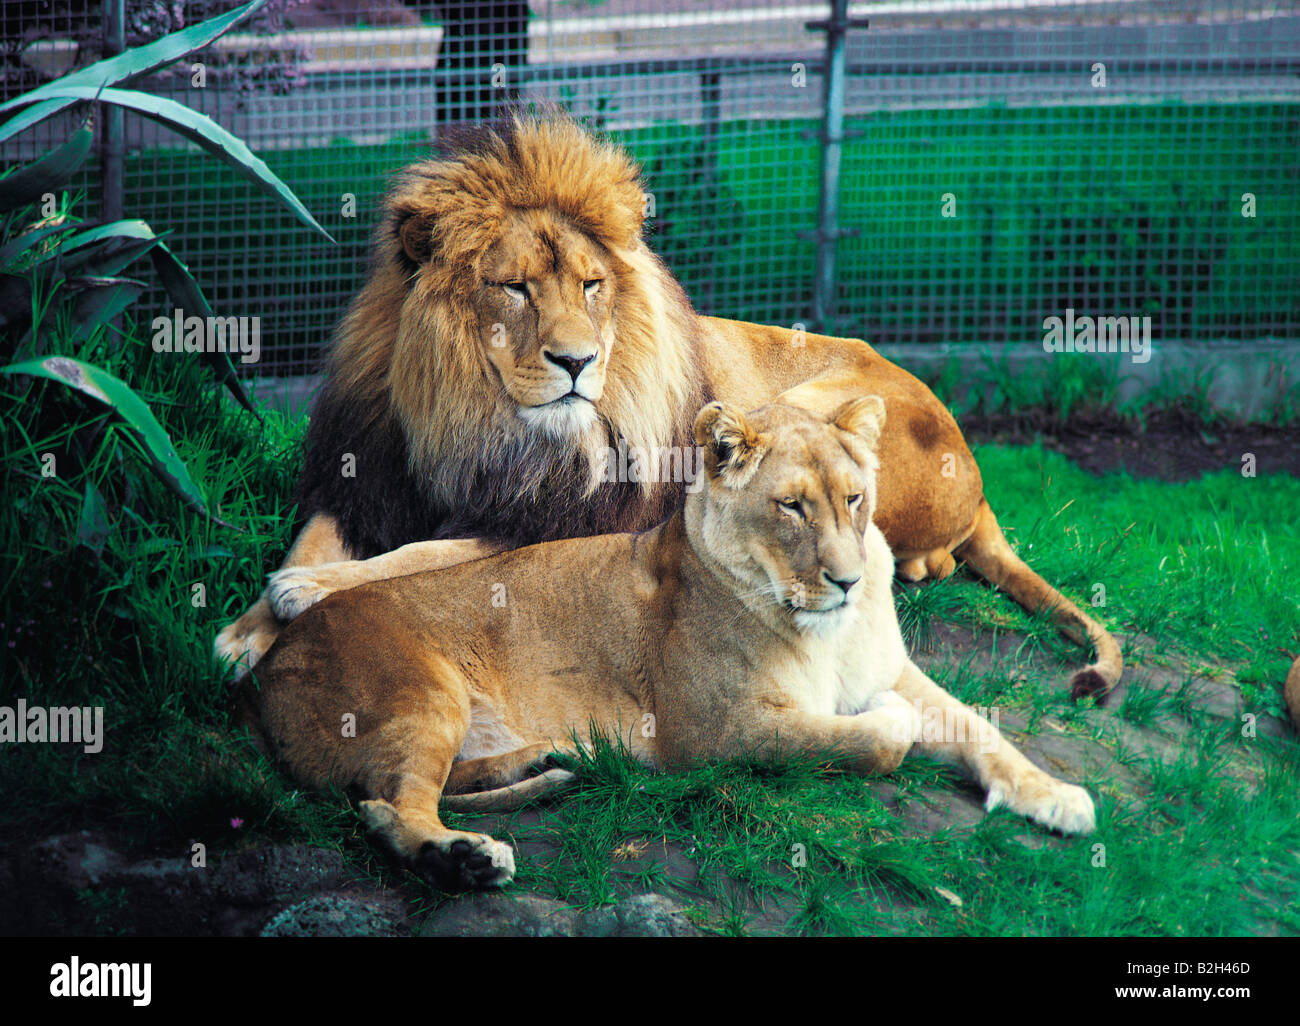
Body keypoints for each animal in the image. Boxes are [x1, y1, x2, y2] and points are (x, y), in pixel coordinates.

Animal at [215, 114, 1121, 700]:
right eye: (515, 287)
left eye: (590, 285)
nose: (577, 361)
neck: (470, 420)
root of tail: (978, 470)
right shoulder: (362, 476)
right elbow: (317, 536)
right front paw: (241, 631)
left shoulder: (554, 522)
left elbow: (420, 557)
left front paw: (302, 593)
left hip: (807, 405)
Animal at [238, 398, 1097, 891]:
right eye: (792, 507)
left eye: (855, 501)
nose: (849, 581)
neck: (829, 632)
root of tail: (271, 669)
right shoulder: (710, 734)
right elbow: (875, 737)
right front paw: (890, 724)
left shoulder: (894, 668)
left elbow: (980, 728)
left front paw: (1055, 797)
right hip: (420, 691)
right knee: (386, 807)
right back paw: (466, 860)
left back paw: (548, 764)